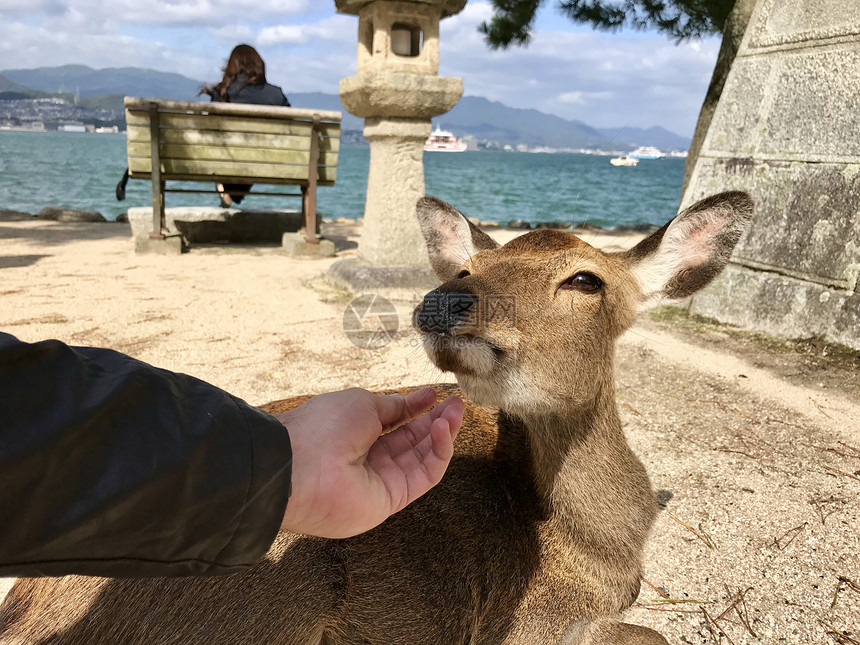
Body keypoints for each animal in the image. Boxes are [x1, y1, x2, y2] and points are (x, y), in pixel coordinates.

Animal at [0, 189, 752, 640]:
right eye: (467, 268)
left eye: (586, 279)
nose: (445, 300)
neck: (607, 552)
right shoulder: (524, 626)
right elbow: (654, 632)